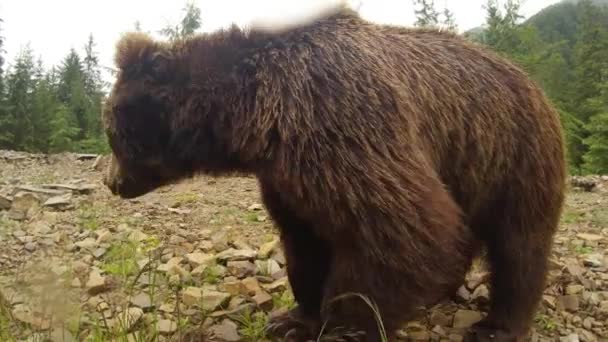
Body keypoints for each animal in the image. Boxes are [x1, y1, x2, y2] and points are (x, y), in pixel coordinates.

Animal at [103, 5, 564, 342]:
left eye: (111, 131)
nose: (111, 183)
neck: (257, 117)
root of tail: (531, 80)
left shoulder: (338, 120)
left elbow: (399, 228)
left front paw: (344, 326)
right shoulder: (287, 176)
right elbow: (304, 242)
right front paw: (293, 319)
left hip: (512, 155)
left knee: (518, 245)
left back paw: (498, 325)